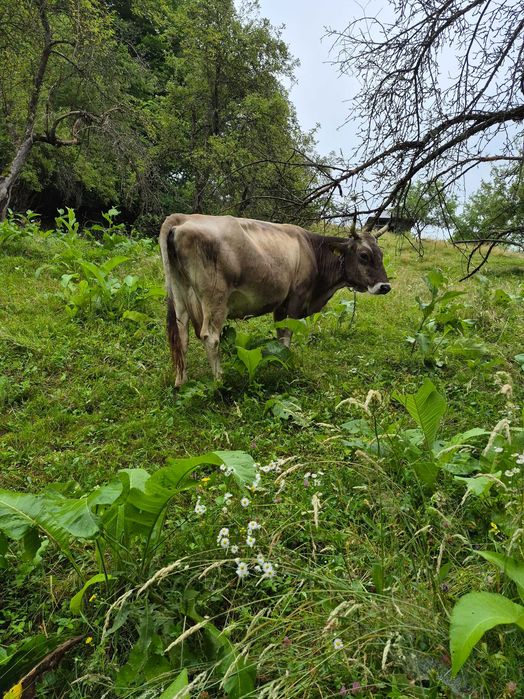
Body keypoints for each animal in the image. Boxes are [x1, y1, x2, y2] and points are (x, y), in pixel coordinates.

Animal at [159, 213, 391, 386]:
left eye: (381, 254)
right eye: (363, 255)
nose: (385, 286)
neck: (312, 250)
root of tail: (181, 218)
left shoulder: (281, 304)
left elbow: (280, 335)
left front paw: (278, 361)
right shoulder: (297, 299)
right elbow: (287, 334)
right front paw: (285, 367)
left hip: (179, 293)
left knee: (181, 335)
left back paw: (181, 382)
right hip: (215, 298)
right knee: (210, 337)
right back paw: (219, 382)